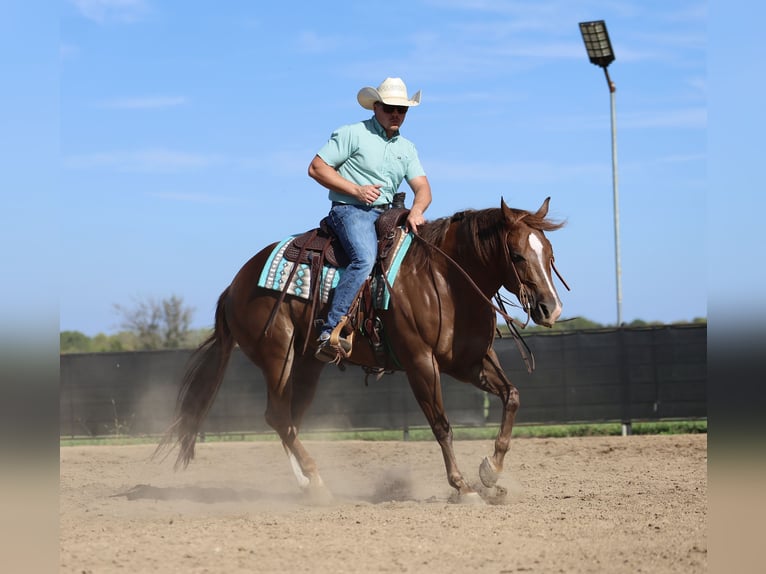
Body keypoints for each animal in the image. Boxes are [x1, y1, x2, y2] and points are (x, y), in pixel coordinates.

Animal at [157, 197, 566, 503]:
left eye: (549, 253)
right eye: (517, 255)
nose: (551, 308)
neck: (444, 281)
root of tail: (235, 285)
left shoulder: (469, 362)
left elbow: (512, 396)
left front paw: (490, 473)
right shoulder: (421, 363)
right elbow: (441, 425)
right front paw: (463, 487)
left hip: (307, 365)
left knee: (288, 419)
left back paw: (307, 484)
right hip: (277, 356)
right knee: (277, 416)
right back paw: (317, 482)